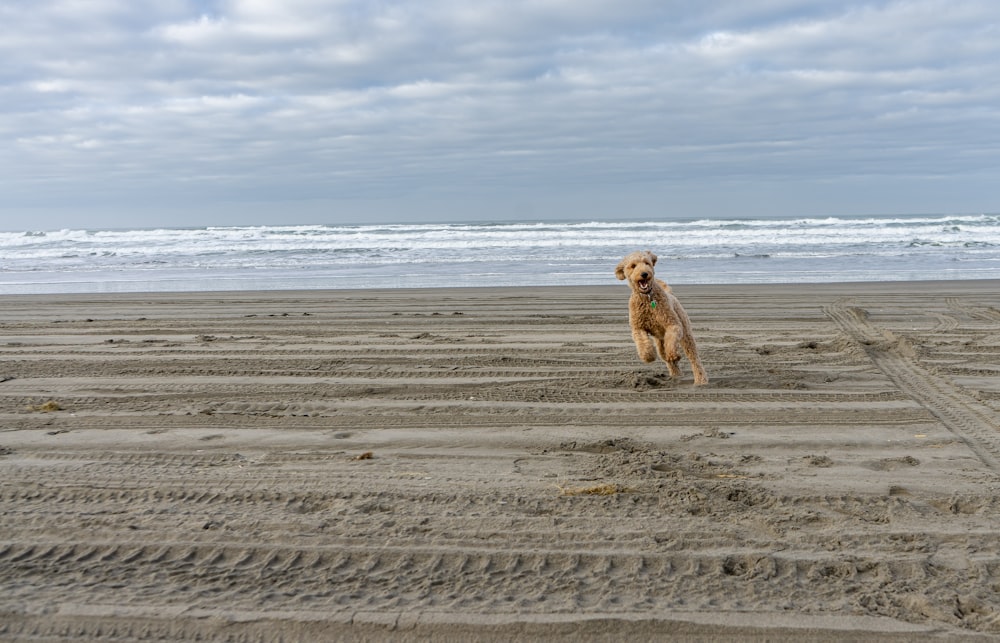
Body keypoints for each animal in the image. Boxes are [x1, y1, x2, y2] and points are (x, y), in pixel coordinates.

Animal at [612, 249, 708, 384]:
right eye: (633, 266)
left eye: (647, 263)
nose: (644, 274)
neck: (648, 298)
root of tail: (670, 294)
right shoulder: (638, 328)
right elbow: (643, 343)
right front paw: (649, 356)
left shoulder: (673, 324)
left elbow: (672, 341)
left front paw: (673, 353)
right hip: (659, 342)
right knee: (667, 359)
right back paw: (676, 374)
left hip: (686, 334)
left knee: (694, 358)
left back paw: (700, 379)